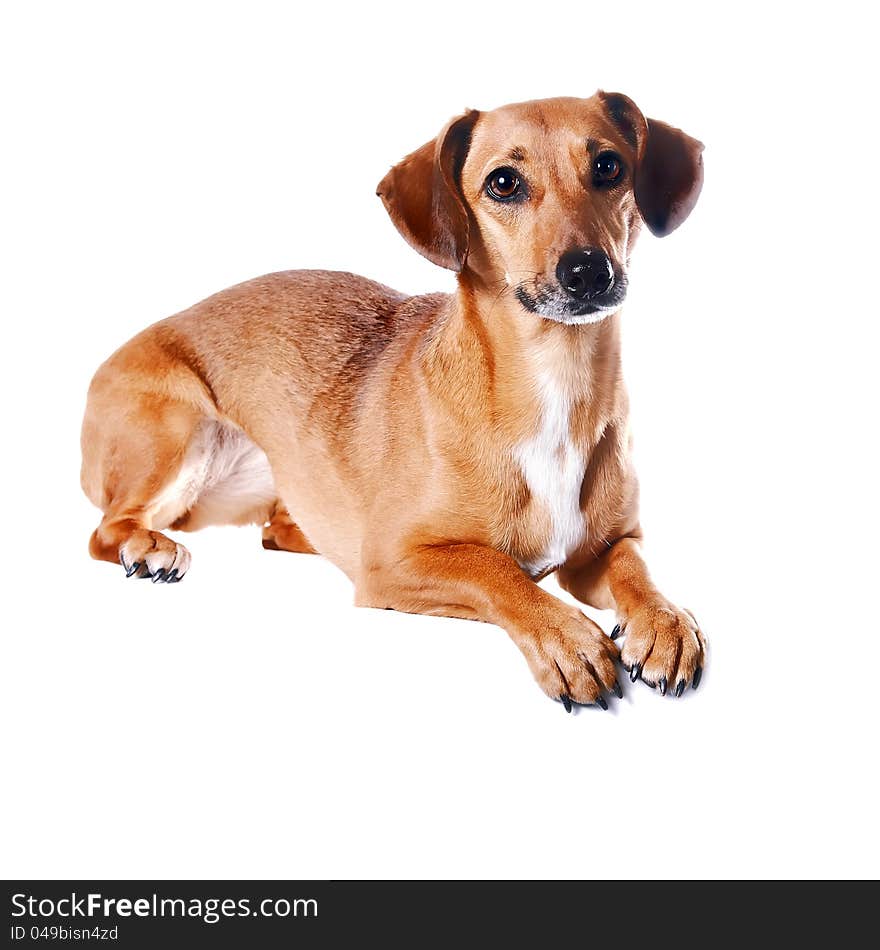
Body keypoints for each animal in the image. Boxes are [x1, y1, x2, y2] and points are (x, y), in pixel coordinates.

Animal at [81, 93, 708, 712]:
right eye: (504, 183)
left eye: (609, 167)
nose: (587, 271)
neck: (553, 379)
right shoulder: (393, 564)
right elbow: (497, 570)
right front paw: (567, 637)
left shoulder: (607, 547)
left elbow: (635, 570)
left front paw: (665, 622)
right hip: (177, 436)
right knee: (108, 528)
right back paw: (150, 548)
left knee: (275, 528)